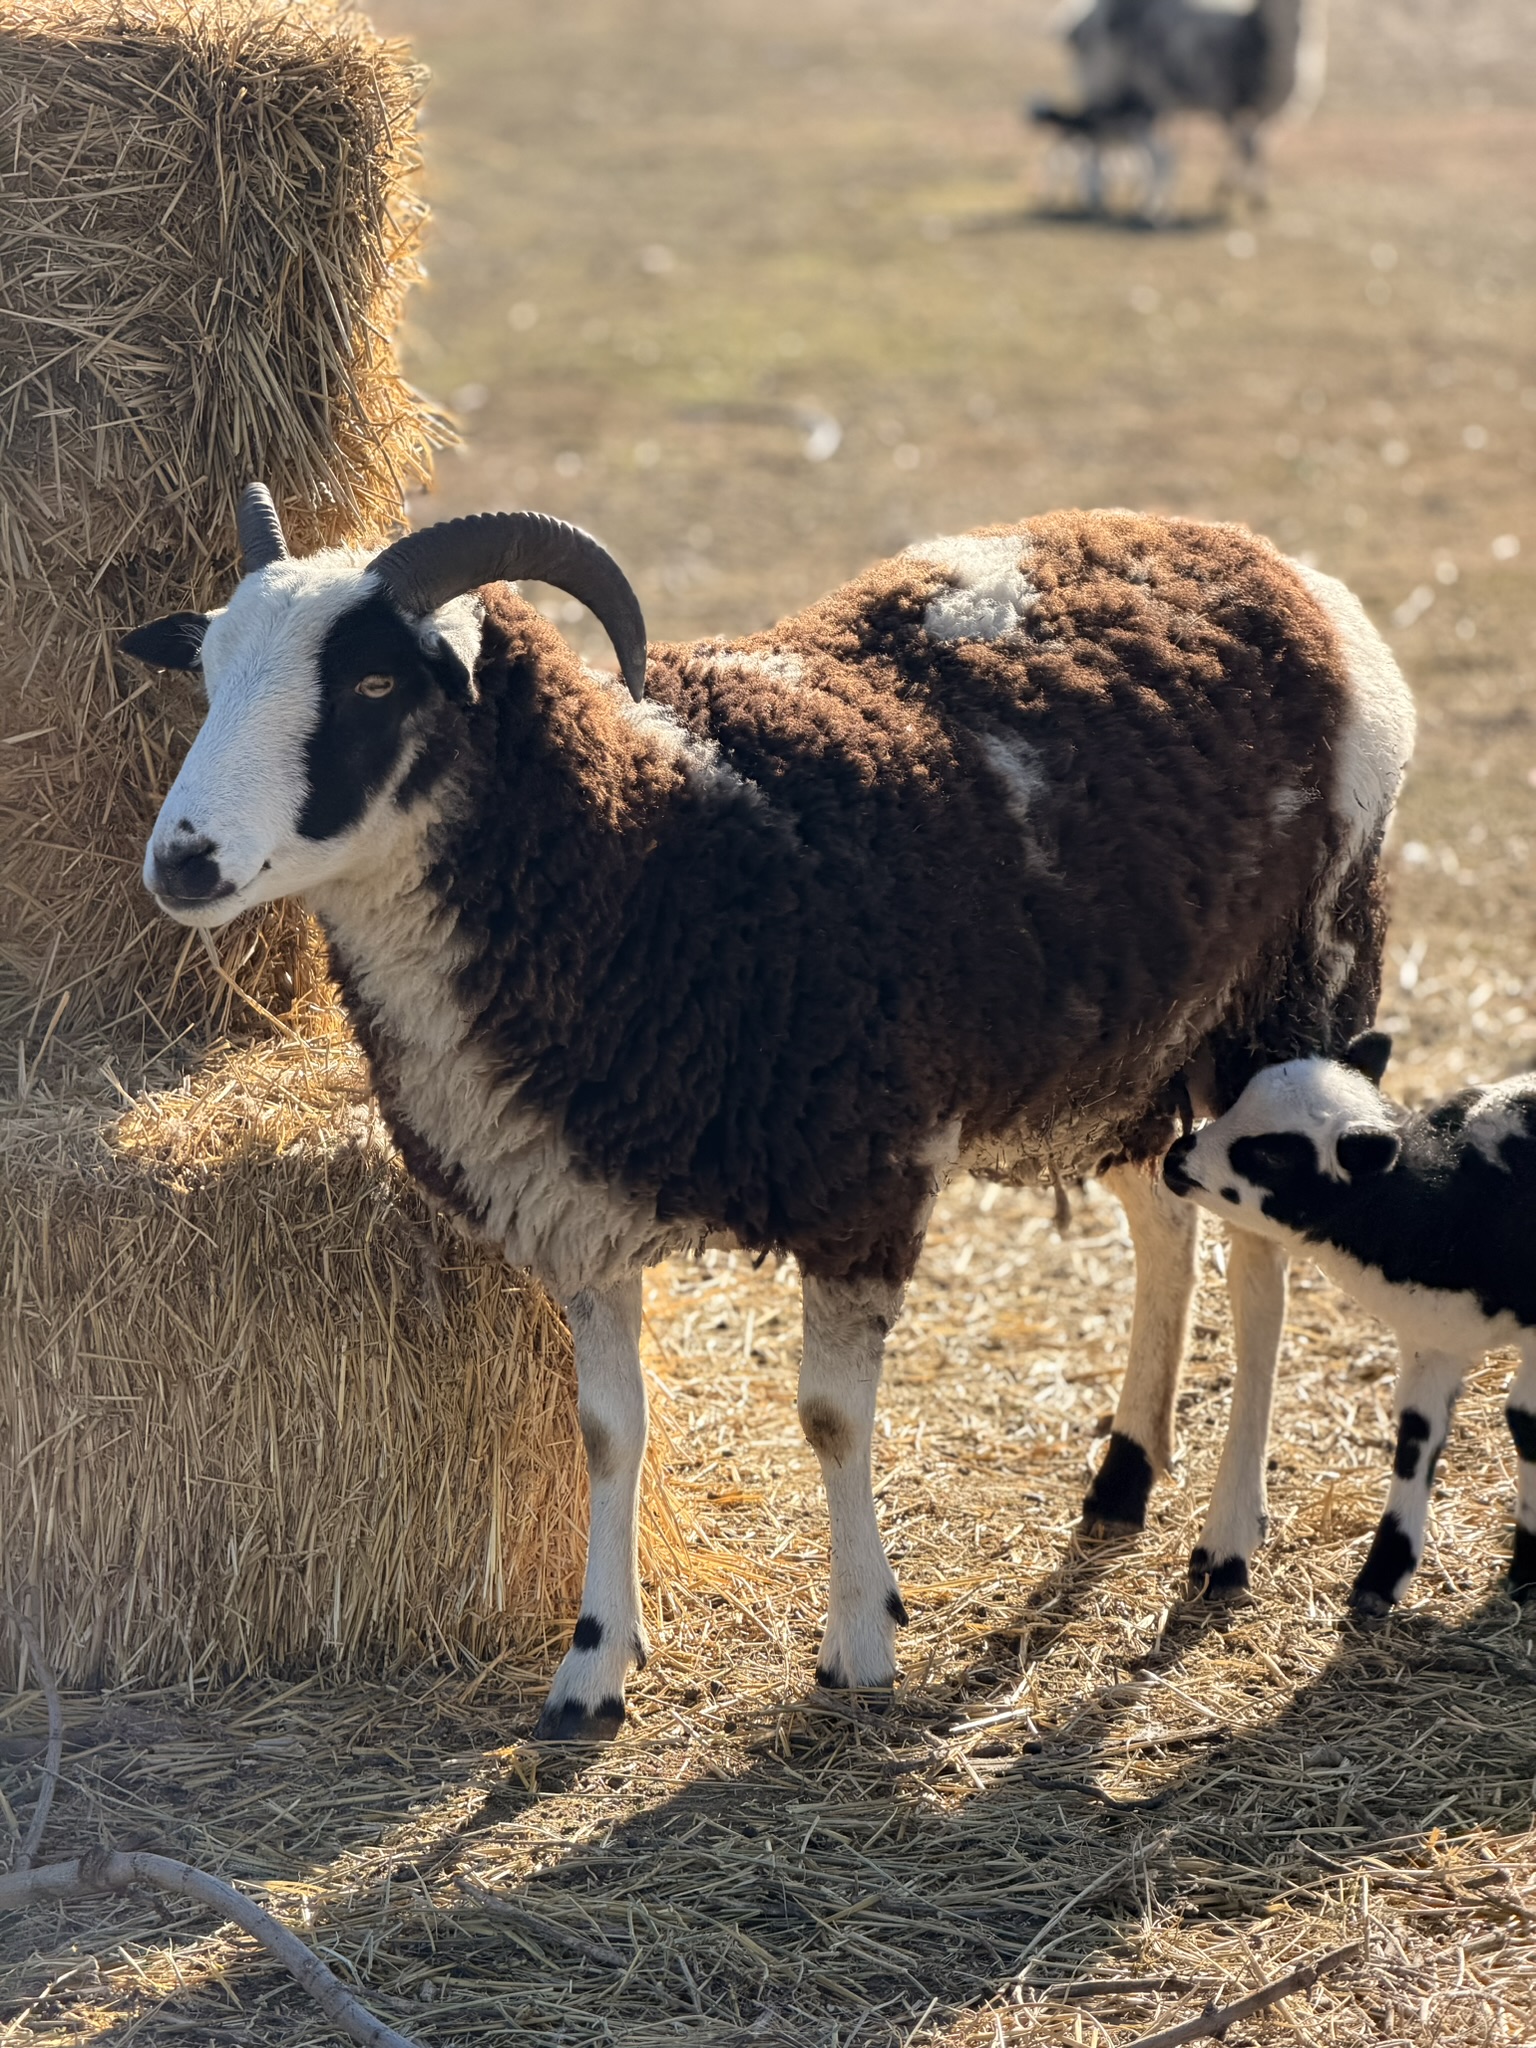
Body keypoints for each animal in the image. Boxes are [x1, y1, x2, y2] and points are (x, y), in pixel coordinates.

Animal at [123, 486, 1414, 1735]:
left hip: (1293, 987)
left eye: (377, 682)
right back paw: (1122, 1480)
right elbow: (608, 1430)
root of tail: (1263, 558)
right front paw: (592, 1670)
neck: (646, 856)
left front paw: (862, 1644)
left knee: (1259, 1260)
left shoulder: (864, 1179)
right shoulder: (575, 1211)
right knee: (1165, 1220)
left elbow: (831, 1419)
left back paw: (1228, 1539)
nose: (181, 860)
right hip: (1129, 1042)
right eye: (209, 668)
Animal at [1033, 0, 1325, 217]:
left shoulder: (1263, 110)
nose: (1301, 20)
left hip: (1125, 97)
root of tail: (1078, 19)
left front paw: (1252, 193)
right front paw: (1232, 192)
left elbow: (1256, 146)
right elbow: (1245, 145)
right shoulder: (1224, 102)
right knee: (1094, 138)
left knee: (1106, 140)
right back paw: (1097, 194)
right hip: (1101, 84)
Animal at [1164, 1041, 1536, 1611]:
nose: (1175, 1158)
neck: (1449, 1204)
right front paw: (1380, 1581)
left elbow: (1525, 1422)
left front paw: (1529, 1574)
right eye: (1234, 1101)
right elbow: (1415, 1438)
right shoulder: (1433, 1340)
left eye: (1273, 1156)